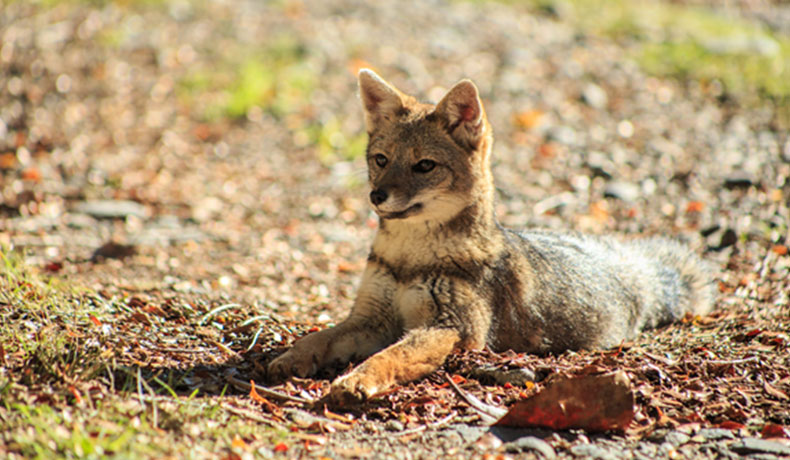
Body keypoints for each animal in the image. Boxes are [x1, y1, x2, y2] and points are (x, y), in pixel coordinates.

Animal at [268, 69, 716, 404]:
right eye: (381, 160)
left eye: (424, 166)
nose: (377, 196)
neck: (408, 259)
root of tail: (629, 267)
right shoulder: (371, 317)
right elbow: (323, 335)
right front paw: (292, 356)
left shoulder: (454, 329)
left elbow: (393, 354)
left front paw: (357, 379)